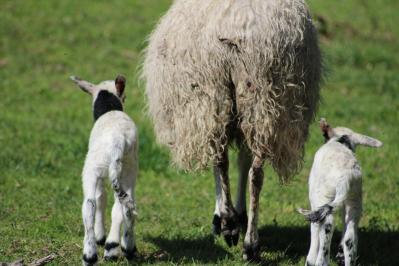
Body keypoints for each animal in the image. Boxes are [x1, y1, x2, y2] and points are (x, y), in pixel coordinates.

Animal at [71, 75, 140, 266]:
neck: (109, 110)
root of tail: (118, 141)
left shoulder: (99, 174)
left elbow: (101, 198)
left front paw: (100, 237)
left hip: (95, 168)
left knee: (90, 205)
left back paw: (96, 253)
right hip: (128, 168)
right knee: (125, 205)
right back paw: (120, 248)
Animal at [142, 0, 324, 260]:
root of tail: (236, 26)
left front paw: (225, 216)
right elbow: (244, 163)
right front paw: (238, 216)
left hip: (212, 94)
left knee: (221, 161)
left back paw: (229, 223)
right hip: (265, 101)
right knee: (255, 173)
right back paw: (250, 243)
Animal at [300, 119, 384, 266]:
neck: (340, 142)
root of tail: (346, 177)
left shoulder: (315, 204)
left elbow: (315, 234)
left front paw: (310, 260)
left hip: (323, 197)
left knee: (326, 230)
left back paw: (320, 261)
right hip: (354, 199)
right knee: (349, 238)